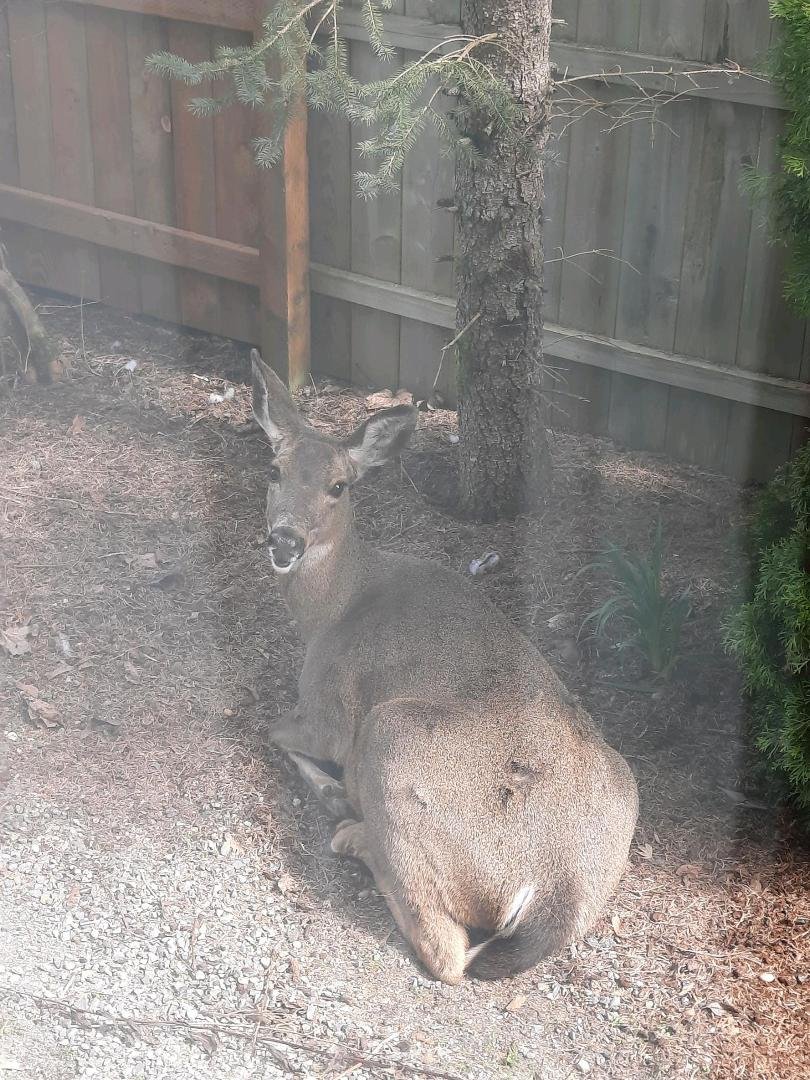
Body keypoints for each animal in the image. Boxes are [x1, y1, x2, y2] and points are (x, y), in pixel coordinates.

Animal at [250, 349, 638, 985]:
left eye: (339, 486)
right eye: (273, 470)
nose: (284, 540)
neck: (334, 607)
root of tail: (556, 891)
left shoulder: (330, 707)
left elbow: (271, 729)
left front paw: (332, 790)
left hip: (394, 733)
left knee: (445, 951)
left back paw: (351, 830)